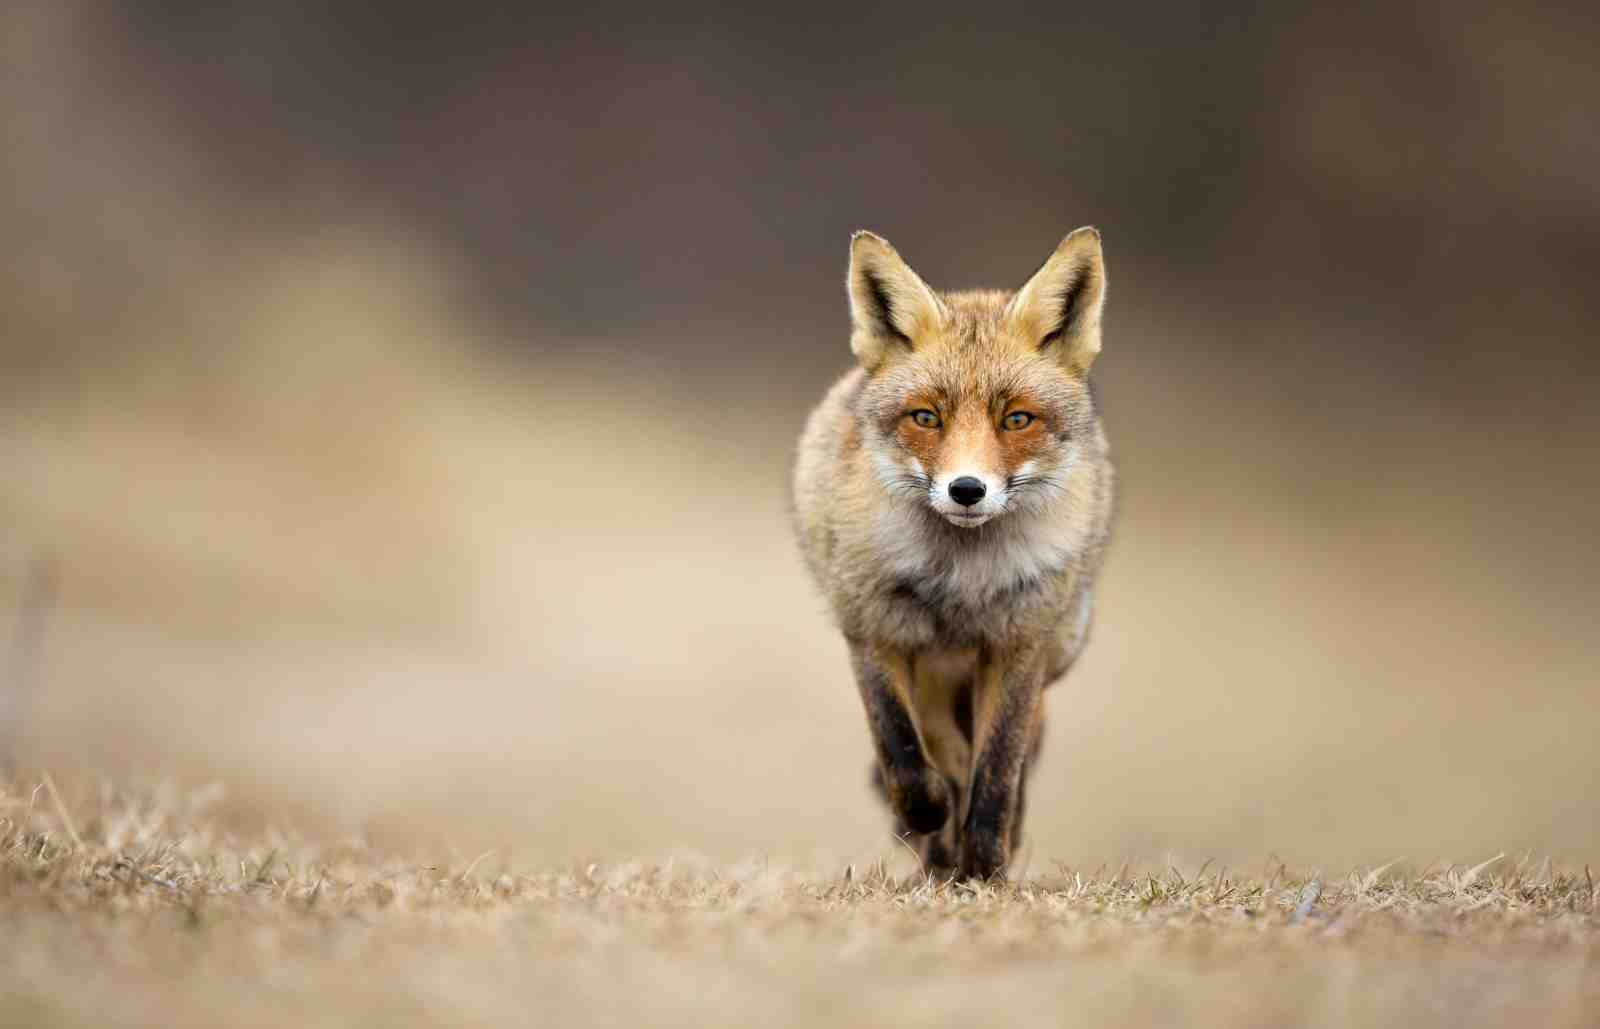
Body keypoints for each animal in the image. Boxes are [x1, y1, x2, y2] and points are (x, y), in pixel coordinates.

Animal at [792, 227, 1115, 880]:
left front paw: (987, 869)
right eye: (926, 417)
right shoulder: (874, 633)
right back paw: (936, 850)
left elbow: (998, 771)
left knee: (1007, 757)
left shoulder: (1019, 646)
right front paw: (928, 818)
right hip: (934, 671)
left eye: (1017, 419)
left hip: (1053, 648)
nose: (967, 489)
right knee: (941, 749)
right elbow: (902, 754)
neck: (960, 580)